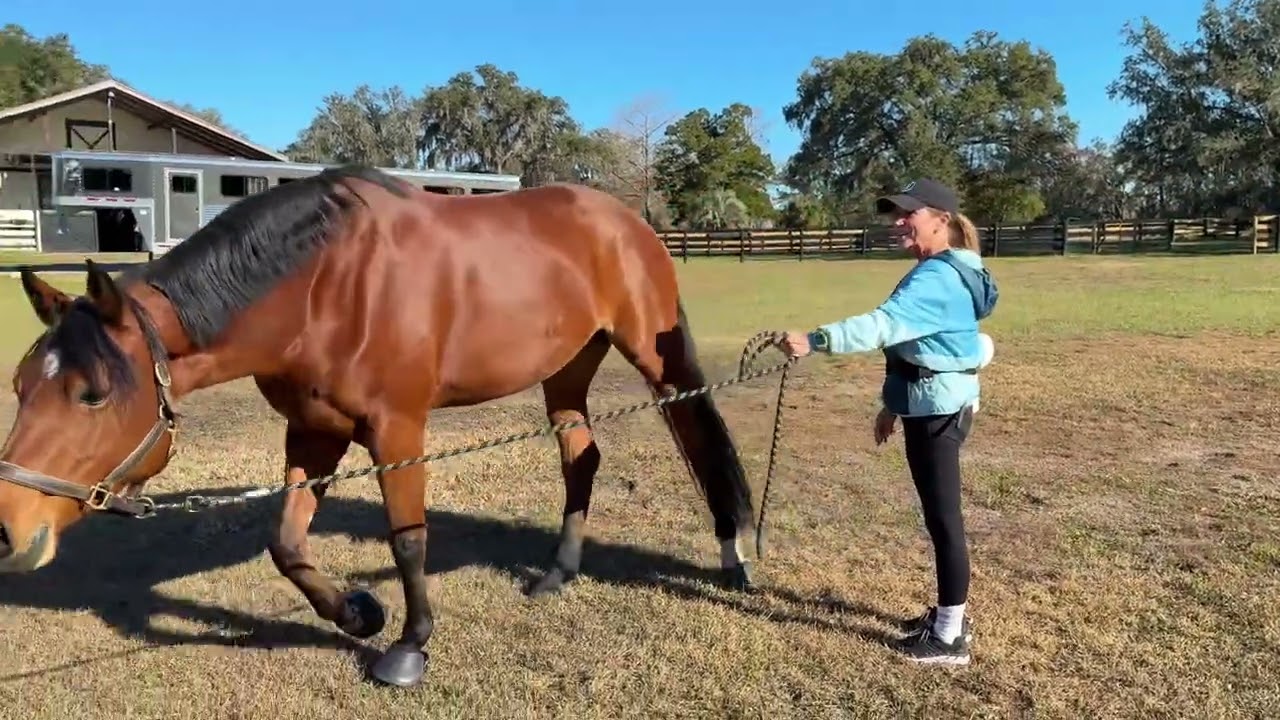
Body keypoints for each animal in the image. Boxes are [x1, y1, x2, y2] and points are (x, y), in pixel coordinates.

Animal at [0, 166, 760, 688]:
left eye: (92, 395)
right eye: (19, 385)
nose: (9, 530)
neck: (323, 287)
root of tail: (626, 221)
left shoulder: (397, 431)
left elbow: (409, 540)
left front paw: (409, 646)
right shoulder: (313, 432)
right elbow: (286, 543)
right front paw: (358, 612)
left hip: (654, 353)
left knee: (696, 437)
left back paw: (733, 554)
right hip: (568, 368)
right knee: (582, 457)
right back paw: (557, 573)